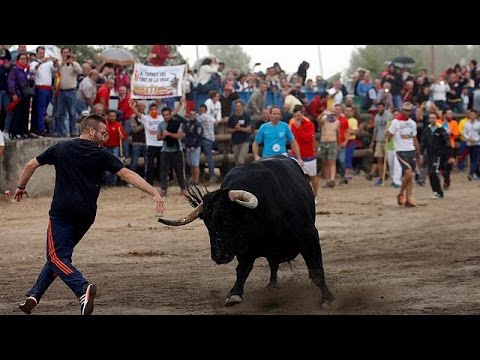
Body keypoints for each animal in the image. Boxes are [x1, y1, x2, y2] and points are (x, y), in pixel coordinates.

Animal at [158, 156, 334, 306]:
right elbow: (243, 269)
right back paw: (272, 286)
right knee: (273, 264)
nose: (218, 256)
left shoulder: (308, 235)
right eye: (207, 223)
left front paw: (327, 299)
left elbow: (316, 270)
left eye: (227, 219)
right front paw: (234, 294)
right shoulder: (246, 248)